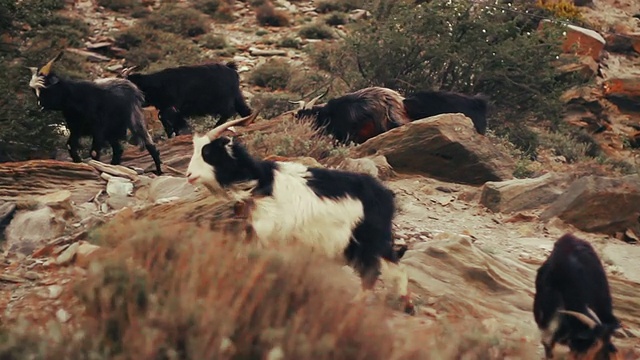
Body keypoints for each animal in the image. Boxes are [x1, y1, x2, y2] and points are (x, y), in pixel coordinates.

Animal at [28, 52, 162, 174]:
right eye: (34, 91)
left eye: (46, 88)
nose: (40, 105)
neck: (75, 97)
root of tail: (132, 87)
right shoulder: (76, 128)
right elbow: (70, 145)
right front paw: (78, 163)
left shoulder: (98, 128)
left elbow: (93, 151)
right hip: (111, 131)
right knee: (118, 149)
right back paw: (114, 166)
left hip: (133, 118)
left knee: (148, 143)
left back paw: (159, 171)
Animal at [121, 62, 251, 138]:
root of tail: (231, 69)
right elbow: (164, 118)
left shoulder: (173, 107)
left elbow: (169, 118)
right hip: (236, 96)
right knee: (244, 110)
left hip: (222, 100)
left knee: (229, 111)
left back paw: (216, 127)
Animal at [185, 113, 416, 316]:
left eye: (207, 153)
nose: (188, 175)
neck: (261, 182)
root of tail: (385, 195)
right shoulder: (255, 233)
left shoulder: (274, 236)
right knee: (394, 267)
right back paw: (407, 305)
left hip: (363, 242)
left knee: (373, 273)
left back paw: (357, 304)